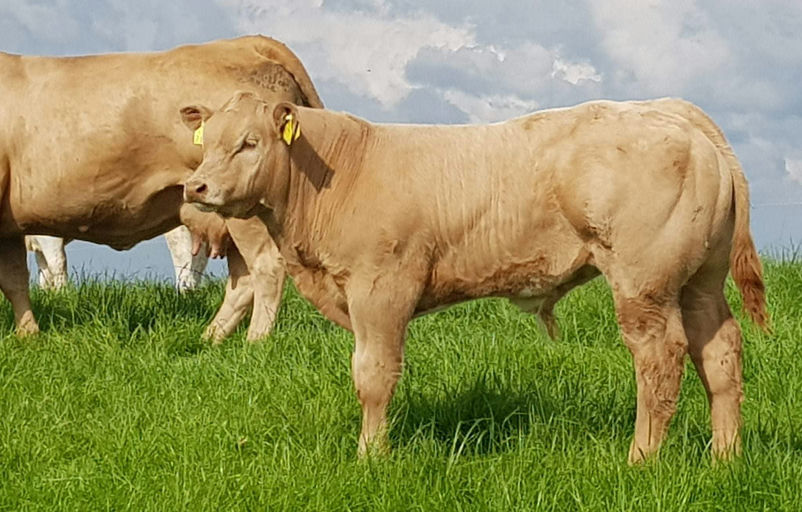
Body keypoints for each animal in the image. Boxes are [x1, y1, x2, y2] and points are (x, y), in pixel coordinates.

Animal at [26, 225, 211, 292]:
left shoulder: (49, 236)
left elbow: (58, 265)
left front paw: (63, 296)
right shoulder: (38, 244)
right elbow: (45, 275)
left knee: (185, 257)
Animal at [182, 92, 769, 463]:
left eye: (250, 142)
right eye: (205, 142)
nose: (196, 187)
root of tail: (672, 110)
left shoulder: (382, 288)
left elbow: (373, 376)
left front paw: (371, 456)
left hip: (644, 283)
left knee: (659, 359)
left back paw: (640, 459)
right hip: (699, 281)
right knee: (719, 353)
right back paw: (724, 458)